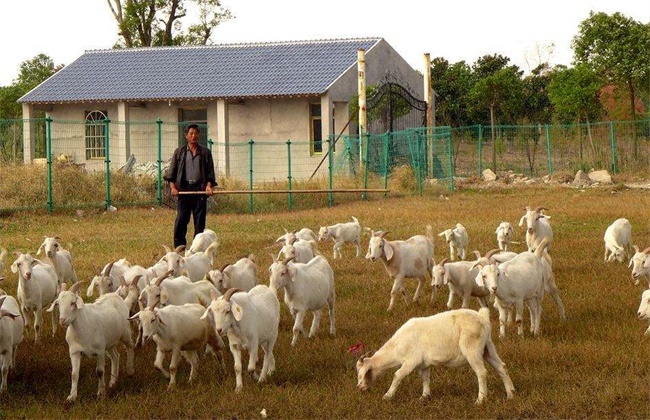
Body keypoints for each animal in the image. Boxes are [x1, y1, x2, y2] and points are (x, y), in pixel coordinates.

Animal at [354, 308, 512, 404]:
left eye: (362, 373)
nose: (359, 388)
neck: (395, 348)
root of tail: (482, 317)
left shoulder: (411, 361)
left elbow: (397, 375)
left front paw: (387, 396)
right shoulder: (424, 364)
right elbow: (425, 378)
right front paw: (424, 397)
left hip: (472, 348)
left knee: (481, 372)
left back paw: (480, 400)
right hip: (488, 348)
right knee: (502, 367)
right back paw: (510, 394)